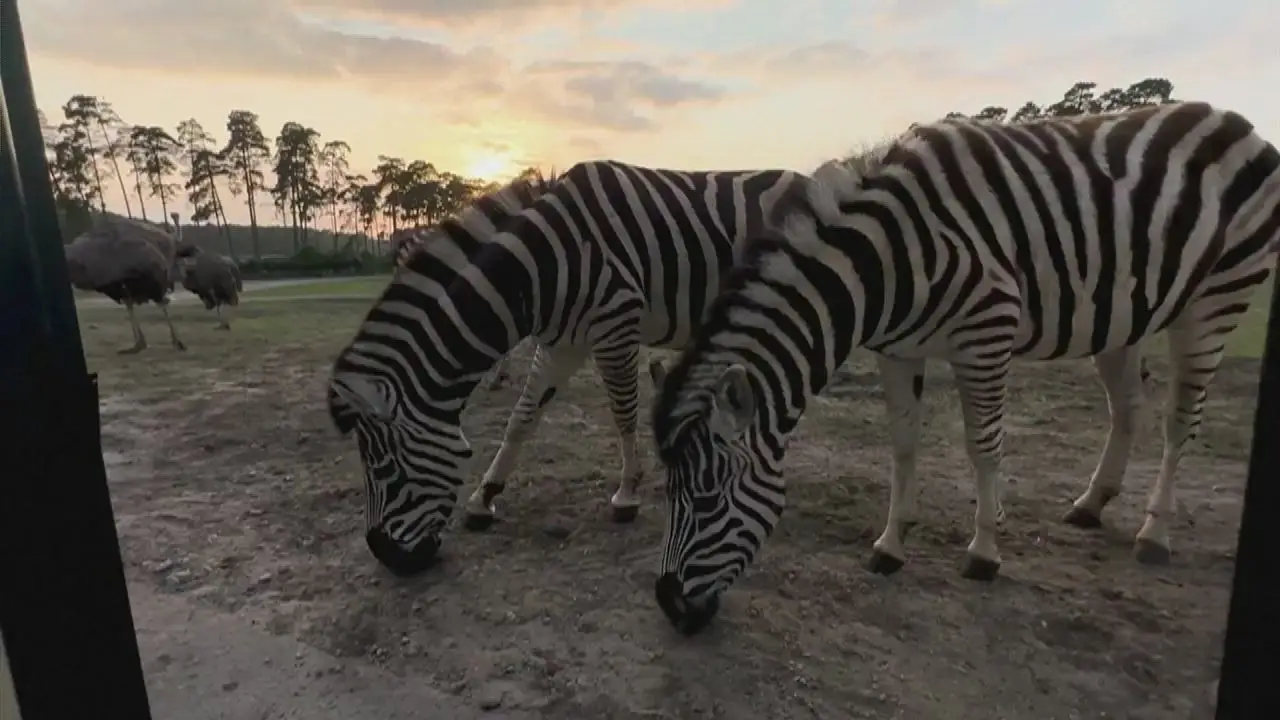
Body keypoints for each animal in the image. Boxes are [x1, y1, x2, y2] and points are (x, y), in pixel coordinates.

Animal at [327, 160, 804, 576]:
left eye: (384, 469)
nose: (385, 557)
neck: (542, 265)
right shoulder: (561, 345)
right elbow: (521, 419)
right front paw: (485, 496)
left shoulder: (616, 324)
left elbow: (623, 414)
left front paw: (627, 494)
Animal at [650, 101, 1280, 635]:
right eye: (670, 493)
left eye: (707, 500)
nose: (670, 607)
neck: (884, 266)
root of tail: (1234, 118)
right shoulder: (897, 350)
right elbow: (903, 446)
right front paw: (890, 545)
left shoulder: (986, 333)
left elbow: (983, 446)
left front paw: (983, 553)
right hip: (1125, 317)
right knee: (1128, 408)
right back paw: (1092, 504)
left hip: (1216, 298)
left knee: (1181, 421)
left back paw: (1155, 532)